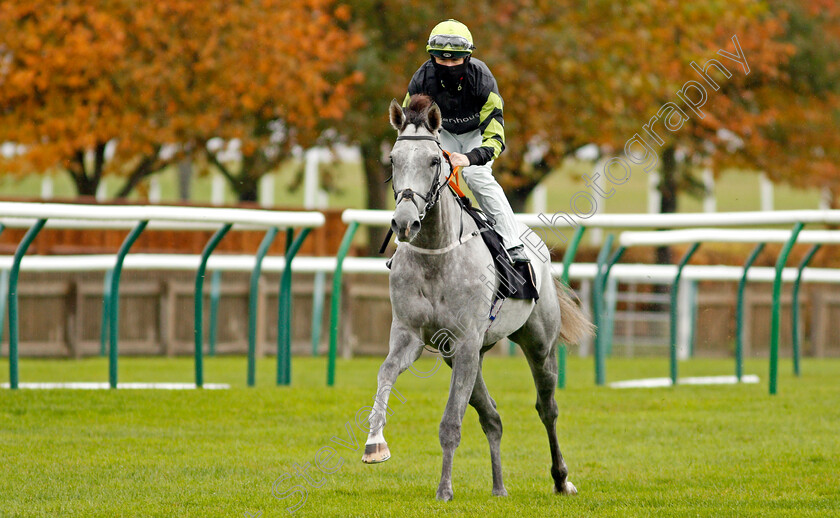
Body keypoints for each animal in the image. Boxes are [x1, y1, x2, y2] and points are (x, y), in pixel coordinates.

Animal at [360, 94, 592, 504]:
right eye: (393, 159)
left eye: (434, 161)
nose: (404, 223)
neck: (436, 256)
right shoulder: (412, 336)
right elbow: (385, 372)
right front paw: (375, 444)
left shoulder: (466, 340)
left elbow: (451, 422)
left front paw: (444, 489)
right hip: (463, 356)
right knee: (492, 416)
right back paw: (499, 486)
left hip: (538, 345)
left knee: (546, 409)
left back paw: (561, 478)